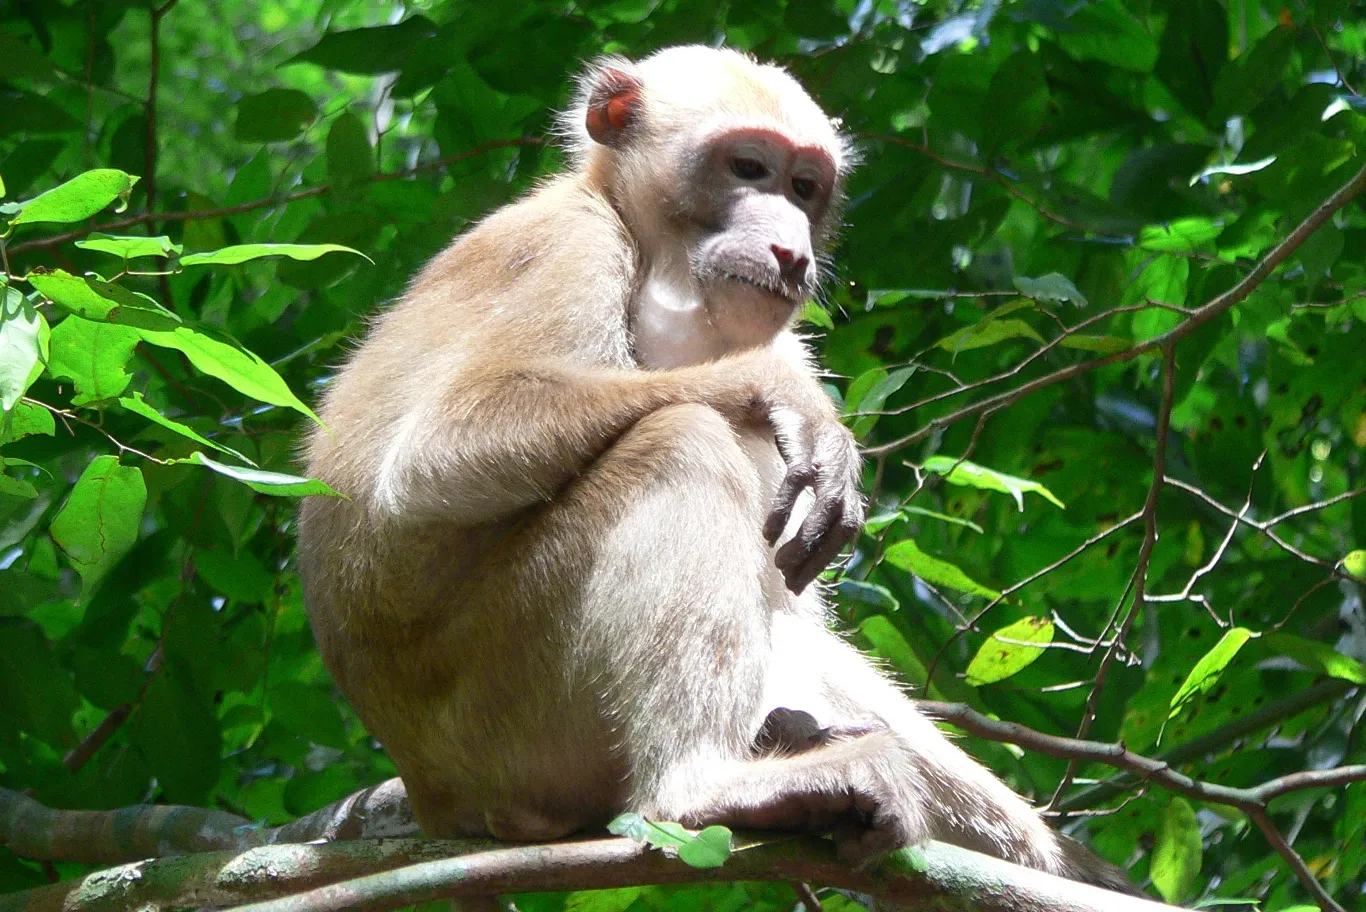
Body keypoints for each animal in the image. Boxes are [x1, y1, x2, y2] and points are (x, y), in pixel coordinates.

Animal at [298, 46, 1133, 892]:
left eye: (804, 187)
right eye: (747, 167)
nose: (792, 249)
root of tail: (434, 792)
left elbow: (791, 608)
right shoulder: (568, 248)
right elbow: (440, 454)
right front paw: (778, 394)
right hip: (502, 708)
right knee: (681, 441)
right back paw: (699, 787)